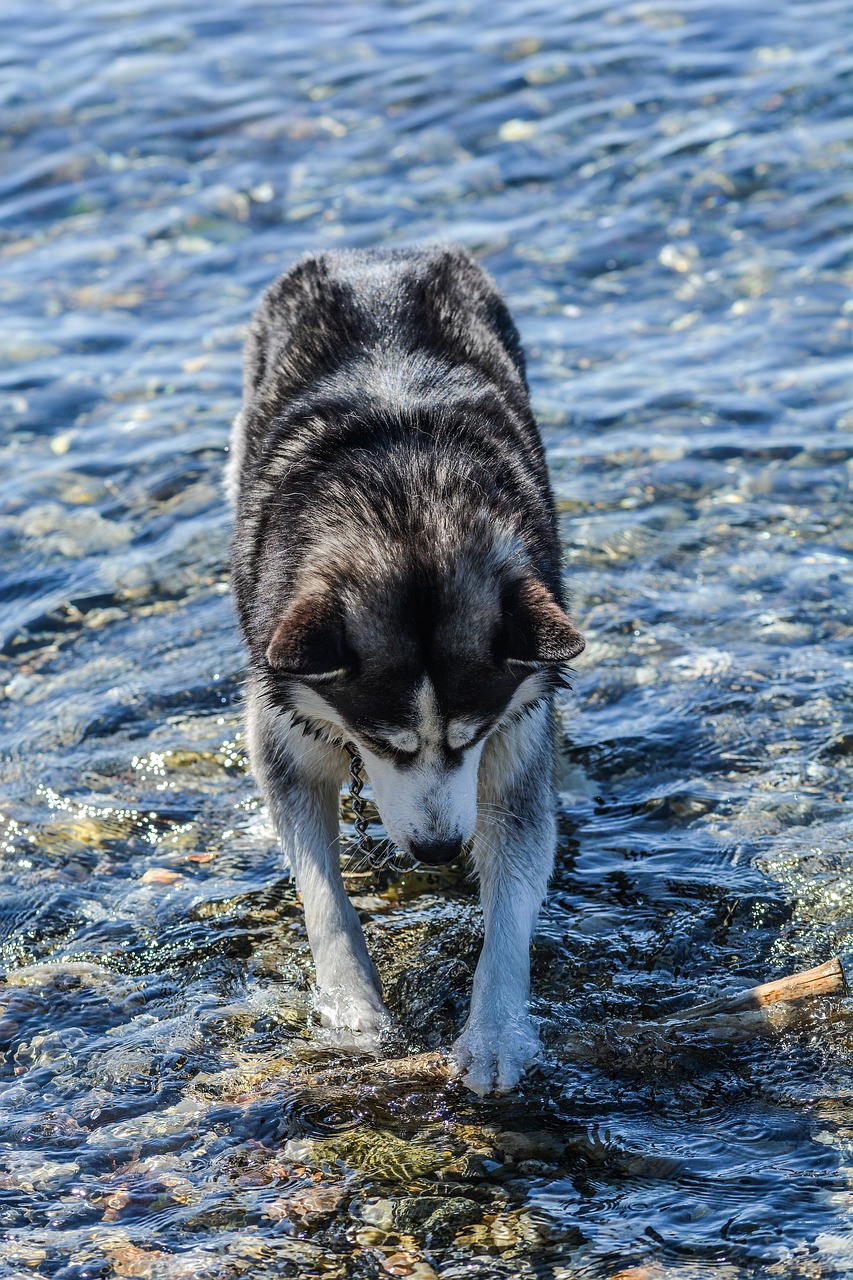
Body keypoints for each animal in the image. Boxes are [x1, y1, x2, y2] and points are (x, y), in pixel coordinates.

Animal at [225, 241, 584, 1090]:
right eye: (384, 743)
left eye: (468, 737)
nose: (437, 852)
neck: (406, 514)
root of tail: (374, 256)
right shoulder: (283, 723)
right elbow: (321, 893)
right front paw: (351, 1007)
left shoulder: (514, 732)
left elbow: (512, 898)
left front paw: (494, 1032)